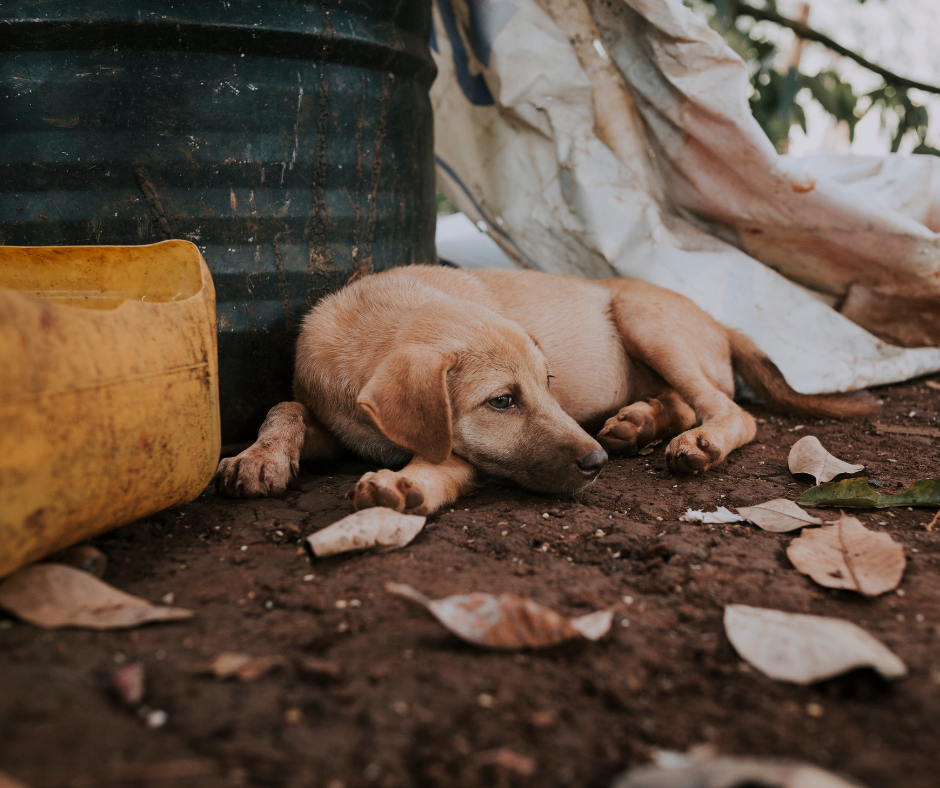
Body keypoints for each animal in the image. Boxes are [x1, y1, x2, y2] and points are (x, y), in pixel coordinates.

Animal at [215, 264, 872, 516]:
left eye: (548, 383)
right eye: (503, 401)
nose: (596, 463)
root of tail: (719, 322)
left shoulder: (463, 453)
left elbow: (443, 460)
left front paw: (406, 483)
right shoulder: (337, 421)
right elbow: (285, 404)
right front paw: (260, 456)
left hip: (644, 318)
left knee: (731, 411)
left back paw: (695, 442)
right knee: (687, 401)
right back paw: (638, 422)